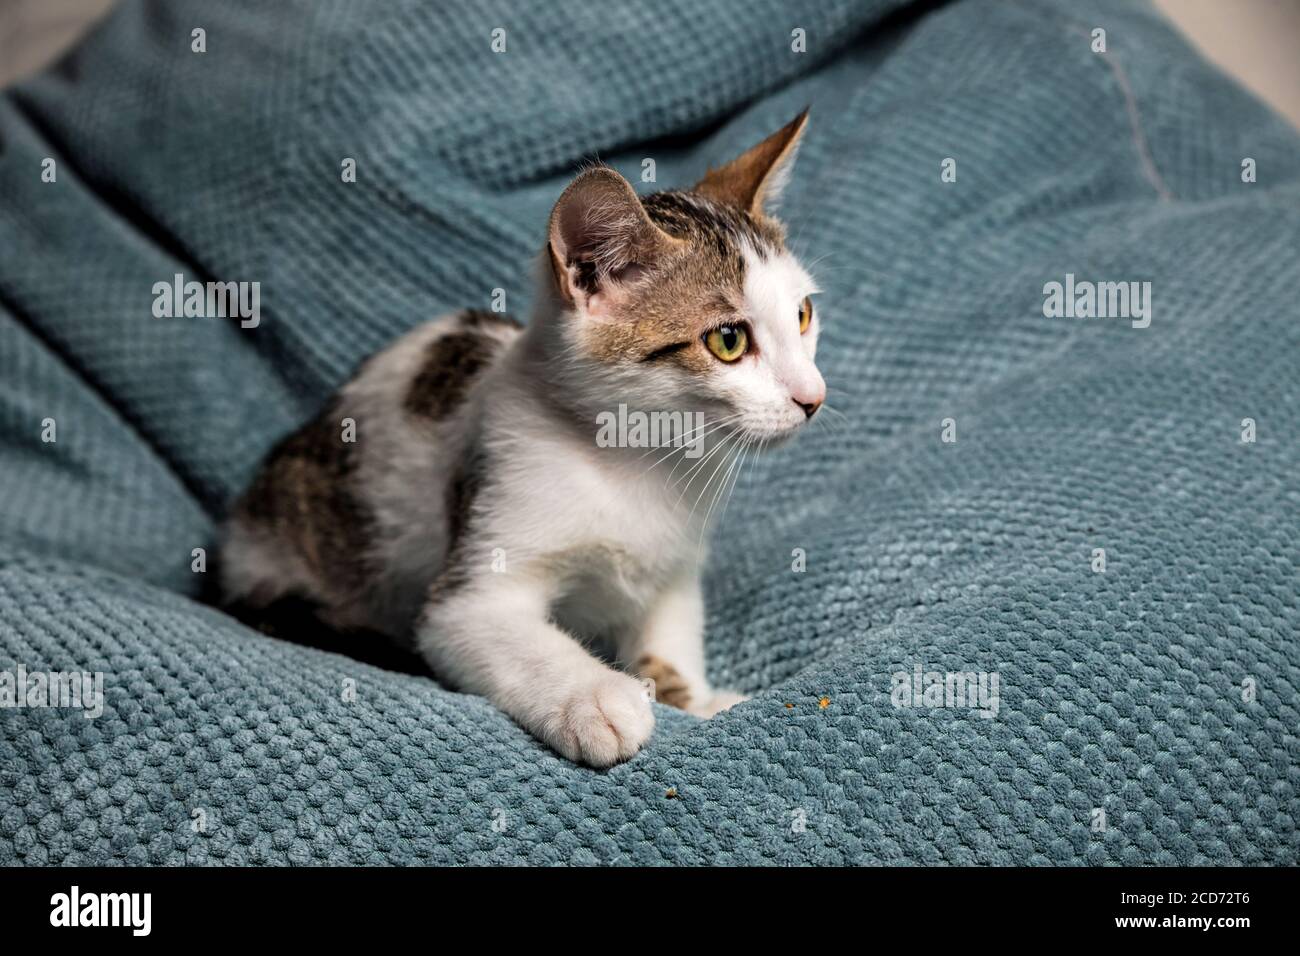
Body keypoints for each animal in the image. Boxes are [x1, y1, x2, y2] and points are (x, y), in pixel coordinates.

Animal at [214, 111, 821, 764]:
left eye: (803, 316)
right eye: (728, 340)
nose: (813, 397)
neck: (634, 459)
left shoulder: (676, 565)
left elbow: (670, 633)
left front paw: (694, 698)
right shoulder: (478, 563)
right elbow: (502, 631)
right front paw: (596, 697)